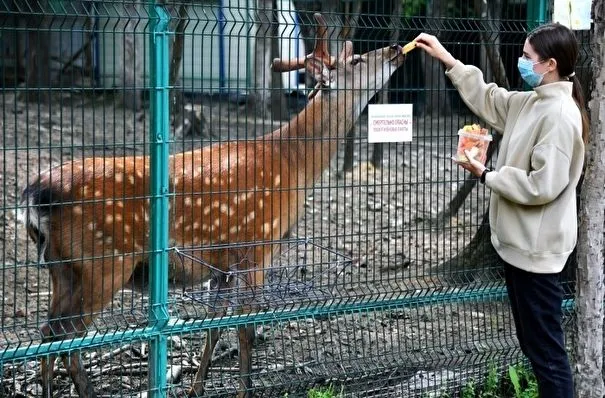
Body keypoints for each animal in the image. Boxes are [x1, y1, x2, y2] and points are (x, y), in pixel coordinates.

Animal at [18, 12, 406, 398]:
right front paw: (244, 389)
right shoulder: (255, 245)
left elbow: (215, 326)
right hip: (103, 262)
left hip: (63, 268)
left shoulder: (222, 264)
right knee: (66, 337)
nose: (395, 48)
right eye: (356, 61)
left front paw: (196, 388)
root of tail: (35, 195)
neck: (292, 164)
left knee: (47, 332)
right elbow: (246, 327)